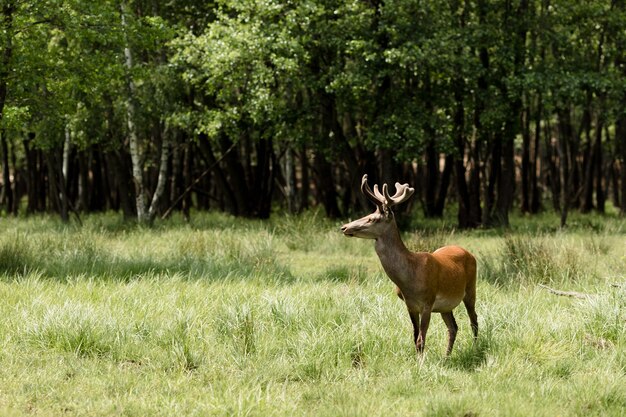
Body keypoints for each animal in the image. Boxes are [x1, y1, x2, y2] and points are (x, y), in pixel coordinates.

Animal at [338, 173, 476, 354]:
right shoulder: (410, 306)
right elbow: (415, 338)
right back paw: (446, 356)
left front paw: (422, 360)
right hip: (446, 306)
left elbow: (421, 340)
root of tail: (469, 253)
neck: (409, 279)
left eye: (372, 218)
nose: (344, 227)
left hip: (471, 289)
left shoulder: (428, 302)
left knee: (474, 320)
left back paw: (477, 347)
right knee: (453, 327)